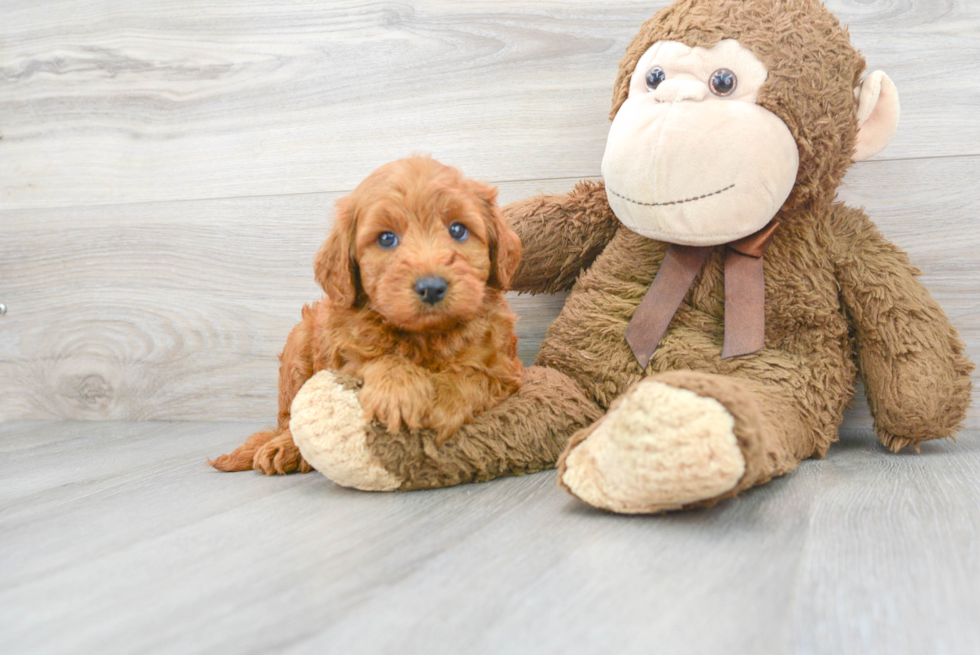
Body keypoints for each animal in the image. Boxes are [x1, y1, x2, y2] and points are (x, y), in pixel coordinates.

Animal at [212, 159, 524, 476]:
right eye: (386, 238)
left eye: (458, 230)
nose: (432, 287)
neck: (426, 335)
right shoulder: (345, 354)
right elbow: (379, 359)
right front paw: (397, 391)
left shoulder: (505, 367)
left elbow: (475, 373)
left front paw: (441, 403)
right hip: (297, 346)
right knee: (289, 419)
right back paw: (285, 448)